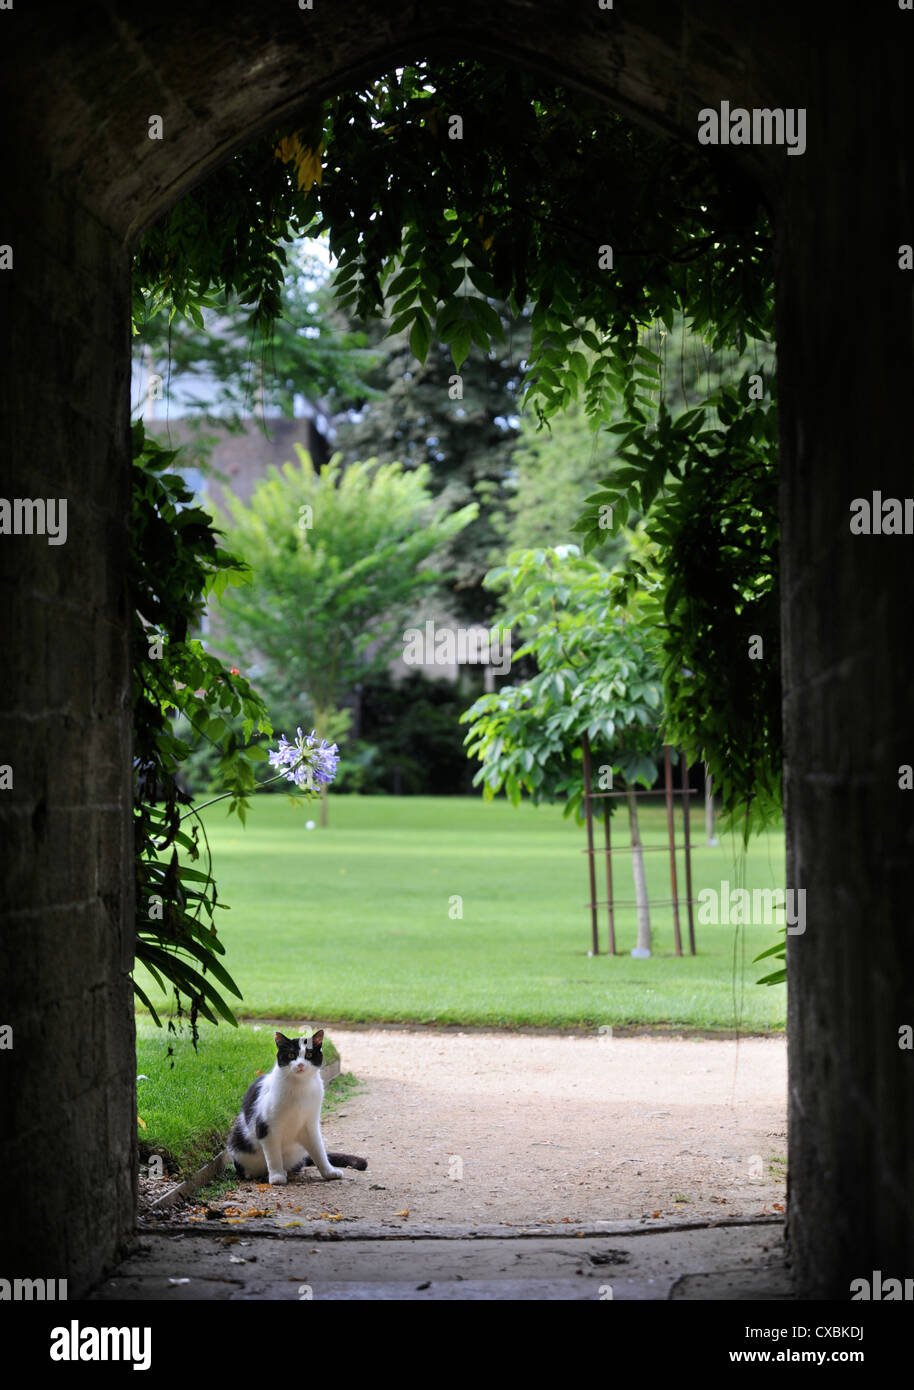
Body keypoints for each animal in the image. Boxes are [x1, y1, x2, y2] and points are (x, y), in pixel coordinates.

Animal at [226, 1034, 363, 1184]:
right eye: (291, 1055)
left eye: (309, 1054)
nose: (300, 1064)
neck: (300, 1087)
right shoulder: (266, 1127)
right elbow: (273, 1156)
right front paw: (277, 1176)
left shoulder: (310, 1125)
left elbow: (319, 1150)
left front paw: (329, 1172)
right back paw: (255, 1173)